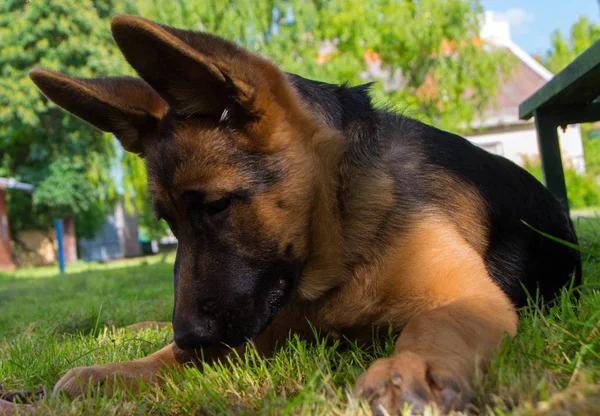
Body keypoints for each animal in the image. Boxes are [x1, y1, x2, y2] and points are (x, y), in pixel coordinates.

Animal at [29, 14, 580, 414]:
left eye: (216, 205)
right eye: (167, 223)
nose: (188, 340)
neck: (340, 250)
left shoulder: (467, 298)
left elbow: (436, 328)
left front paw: (407, 369)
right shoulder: (261, 324)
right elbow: (164, 358)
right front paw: (118, 371)